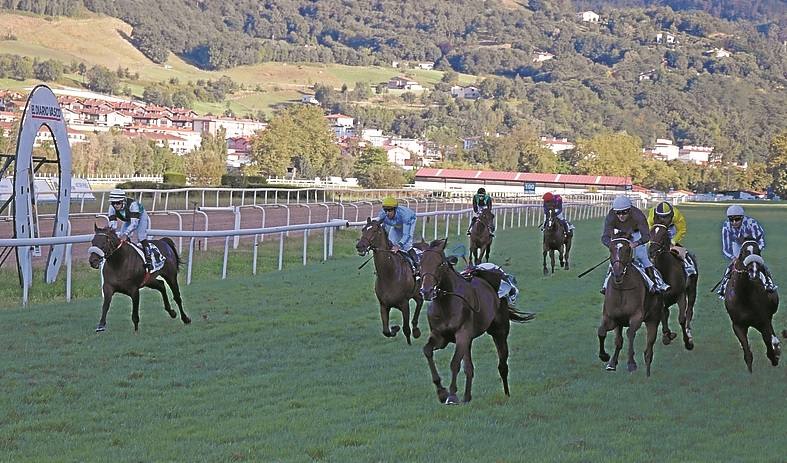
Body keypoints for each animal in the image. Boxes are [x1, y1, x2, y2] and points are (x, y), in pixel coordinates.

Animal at [418, 241, 536, 404]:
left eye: (440, 264)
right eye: (420, 263)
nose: (426, 291)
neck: (446, 303)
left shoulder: (462, 334)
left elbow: (455, 363)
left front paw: (452, 395)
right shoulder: (440, 337)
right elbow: (427, 351)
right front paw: (442, 392)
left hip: (499, 332)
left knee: (502, 364)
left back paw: (506, 393)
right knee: (469, 367)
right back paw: (467, 397)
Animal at [596, 236, 664, 376]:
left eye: (627, 250)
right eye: (611, 249)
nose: (617, 273)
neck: (622, 289)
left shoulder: (636, 316)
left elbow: (630, 333)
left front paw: (631, 363)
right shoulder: (612, 318)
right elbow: (602, 332)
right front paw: (606, 357)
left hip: (653, 319)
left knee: (649, 348)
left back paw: (648, 372)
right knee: (619, 340)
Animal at [728, 239, 780, 374]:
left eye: (758, 251)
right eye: (743, 252)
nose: (754, 271)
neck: (744, 296)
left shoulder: (763, 321)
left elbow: (769, 344)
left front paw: (775, 357)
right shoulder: (738, 325)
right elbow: (747, 352)